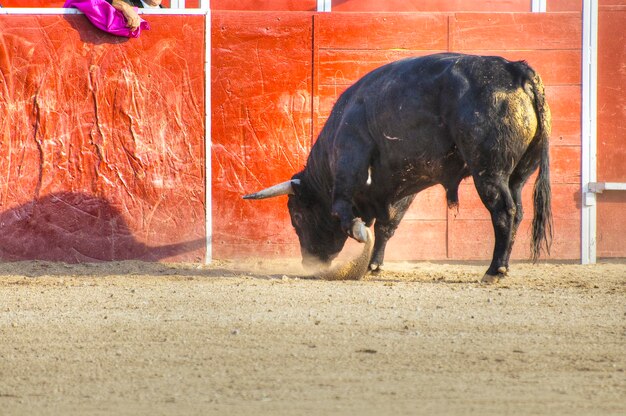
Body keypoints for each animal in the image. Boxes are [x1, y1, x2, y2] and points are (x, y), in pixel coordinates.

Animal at [244, 52, 552, 282]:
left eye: (296, 217)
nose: (309, 263)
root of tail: (517, 70)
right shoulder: (404, 182)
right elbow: (387, 225)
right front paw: (373, 264)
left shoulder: (350, 157)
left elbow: (342, 207)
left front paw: (359, 232)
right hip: (518, 175)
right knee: (519, 211)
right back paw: (503, 267)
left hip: (489, 172)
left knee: (504, 211)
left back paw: (493, 270)